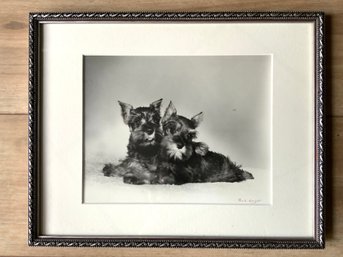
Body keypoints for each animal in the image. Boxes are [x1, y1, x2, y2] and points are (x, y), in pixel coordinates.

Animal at [101, 98, 254, 184]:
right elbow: (128, 164)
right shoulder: (134, 159)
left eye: (155, 120)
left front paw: (134, 177)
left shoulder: (174, 175)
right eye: (137, 121)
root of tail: (234, 167)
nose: (150, 130)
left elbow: (156, 177)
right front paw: (113, 168)